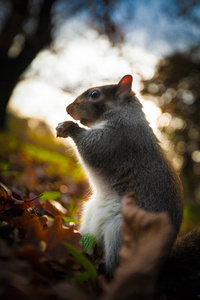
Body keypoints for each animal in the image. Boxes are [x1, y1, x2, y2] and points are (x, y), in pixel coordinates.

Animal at [55, 74, 184, 276]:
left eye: (94, 94)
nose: (68, 109)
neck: (124, 112)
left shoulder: (116, 138)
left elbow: (93, 147)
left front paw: (69, 127)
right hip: (89, 221)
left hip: (121, 233)